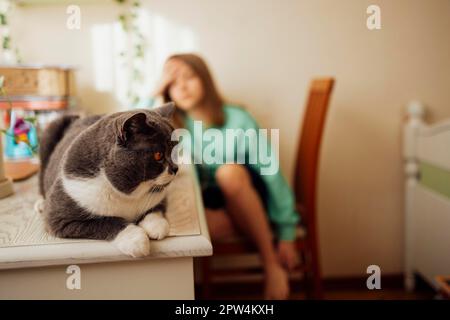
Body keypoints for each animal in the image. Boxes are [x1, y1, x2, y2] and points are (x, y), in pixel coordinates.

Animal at [37, 103, 178, 258]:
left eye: (175, 151)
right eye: (158, 155)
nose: (175, 168)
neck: (128, 194)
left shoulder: (160, 193)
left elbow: (156, 208)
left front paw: (156, 226)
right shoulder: (60, 218)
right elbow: (105, 222)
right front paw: (136, 241)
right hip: (49, 132)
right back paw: (41, 203)